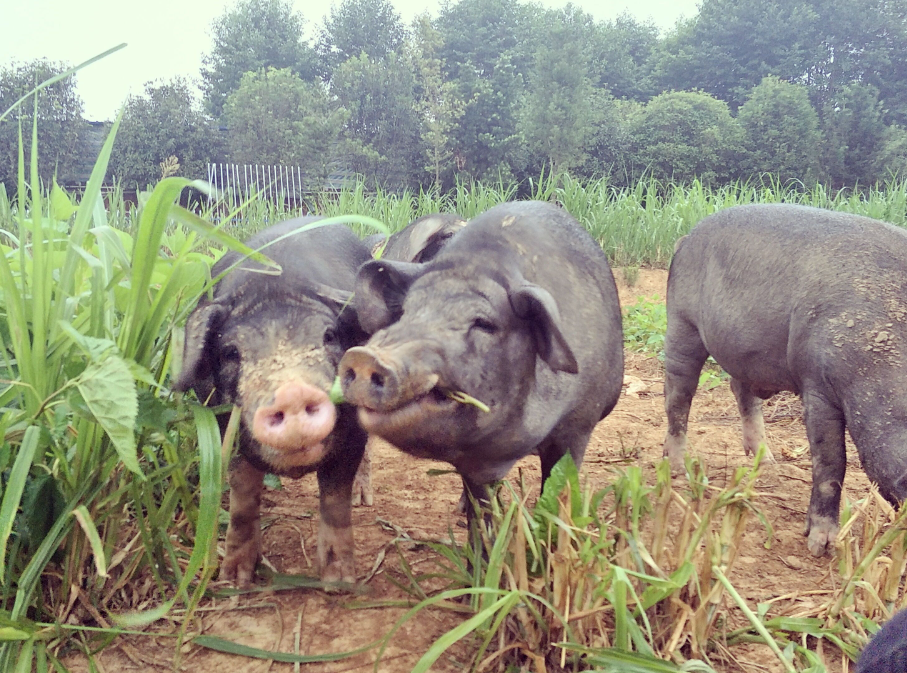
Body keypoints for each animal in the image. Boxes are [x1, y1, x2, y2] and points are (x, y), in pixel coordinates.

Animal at [174, 218, 372, 584]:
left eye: (329, 336)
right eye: (230, 352)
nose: (291, 392)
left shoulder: (352, 435)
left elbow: (335, 499)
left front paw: (339, 582)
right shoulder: (223, 425)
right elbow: (242, 494)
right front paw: (234, 580)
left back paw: (364, 500)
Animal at [336, 202, 628, 506]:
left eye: (483, 323)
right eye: (405, 312)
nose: (364, 357)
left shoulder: (581, 423)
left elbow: (558, 487)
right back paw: (360, 500)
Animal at [664, 203, 907, 556]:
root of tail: (686, 239)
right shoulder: (817, 384)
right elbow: (831, 461)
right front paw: (821, 547)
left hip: (748, 356)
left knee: (741, 390)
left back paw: (768, 464)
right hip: (682, 323)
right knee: (678, 394)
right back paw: (677, 469)